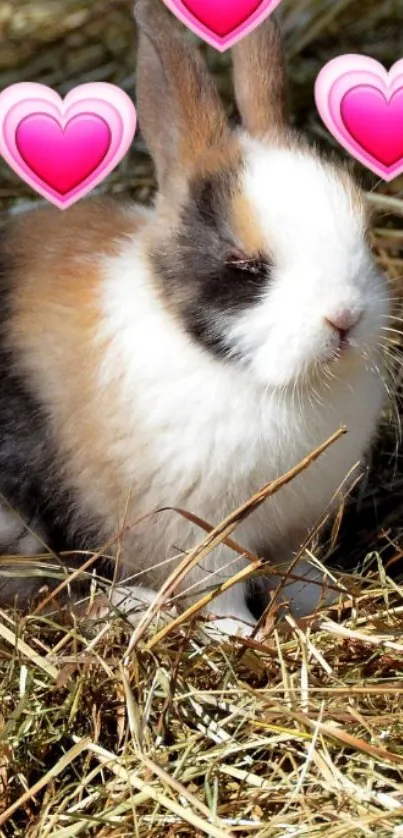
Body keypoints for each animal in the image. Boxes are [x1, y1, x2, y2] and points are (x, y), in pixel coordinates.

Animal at [0, 0, 392, 636]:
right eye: (245, 267)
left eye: (361, 230)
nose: (344, 318)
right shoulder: (194, 533)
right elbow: (216, 592)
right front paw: (237, 634)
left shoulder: (300, 523)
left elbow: (298, 571)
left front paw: (320, 600)